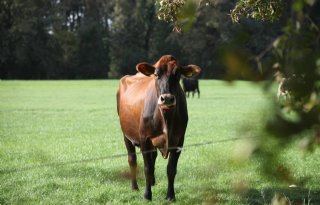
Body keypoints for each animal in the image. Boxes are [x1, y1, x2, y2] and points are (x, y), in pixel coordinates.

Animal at [116, 54, 201, 200]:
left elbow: (171, 168)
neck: (165, 117)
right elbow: (147, 168)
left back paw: (153, 182)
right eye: (156, 74)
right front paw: (147, 195)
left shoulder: (179, 140)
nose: (166, 98)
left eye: (178, 73)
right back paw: (135, 187)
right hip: (126, 135)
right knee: (132, 159)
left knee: (153, 156)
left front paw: (170, 196)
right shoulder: (144, 138)